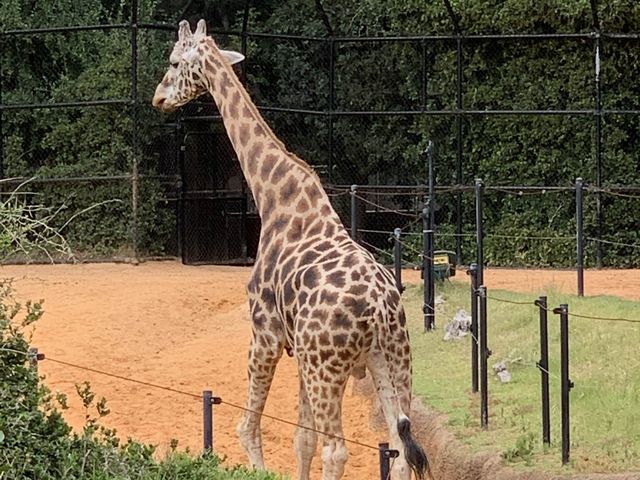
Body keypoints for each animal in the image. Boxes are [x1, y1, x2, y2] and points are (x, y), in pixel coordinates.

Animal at [152, 18, 428, 480]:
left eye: (174, 61)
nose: (158, 98)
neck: (274, 199)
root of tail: (379, 310)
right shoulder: (299, 351)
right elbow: (303, 440)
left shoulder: (264, 331)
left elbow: (248, 427)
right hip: (392, 358)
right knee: (401, 445)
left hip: (327, 367)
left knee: (338, 450)